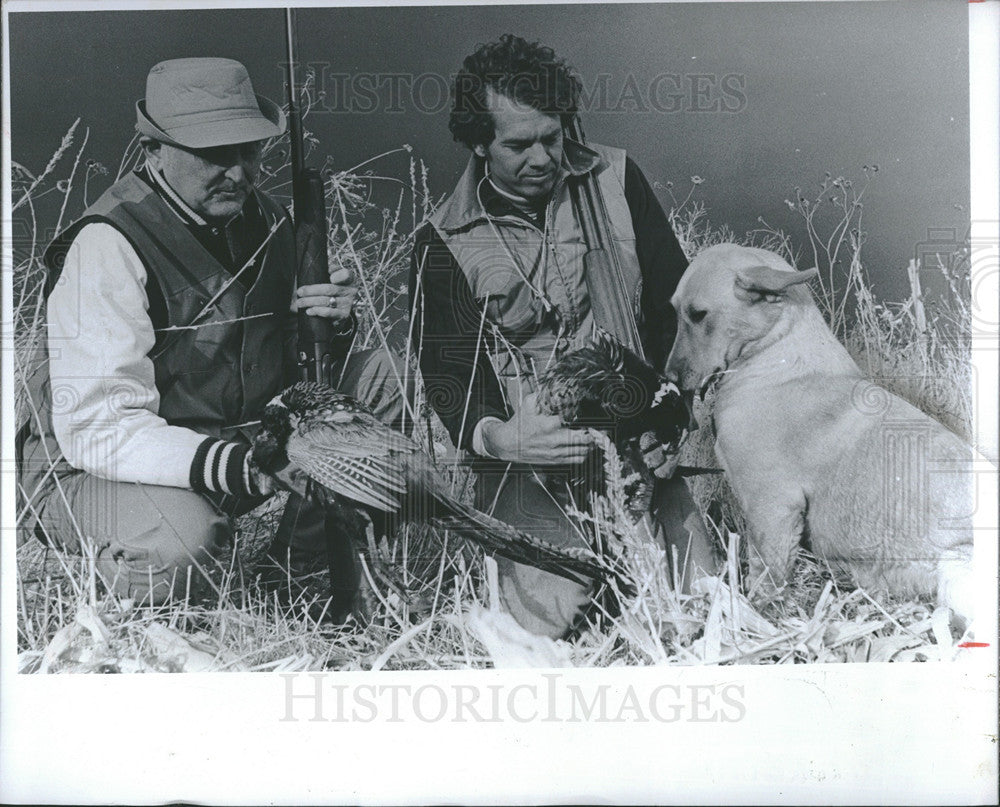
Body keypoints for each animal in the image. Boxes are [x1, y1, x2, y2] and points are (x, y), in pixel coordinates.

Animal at [664, 243, 984, 620]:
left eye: (698, 315)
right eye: (674, 311)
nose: (668, 378)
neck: (773, 353)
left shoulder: (773, 506)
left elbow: (764, 575)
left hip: (955, 568)